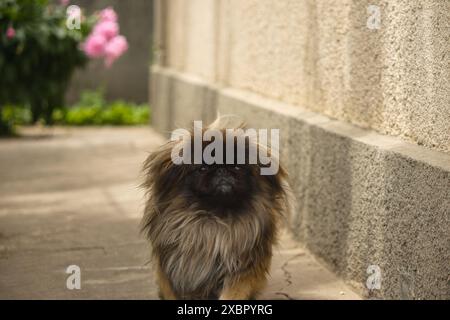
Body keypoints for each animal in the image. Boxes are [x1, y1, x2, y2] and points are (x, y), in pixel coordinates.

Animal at [142, 117, 296, 300]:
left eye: (237, 167)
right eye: (202, 168)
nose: (222, 170)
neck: (215, 219)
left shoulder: (241, 270)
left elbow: (233, 292)